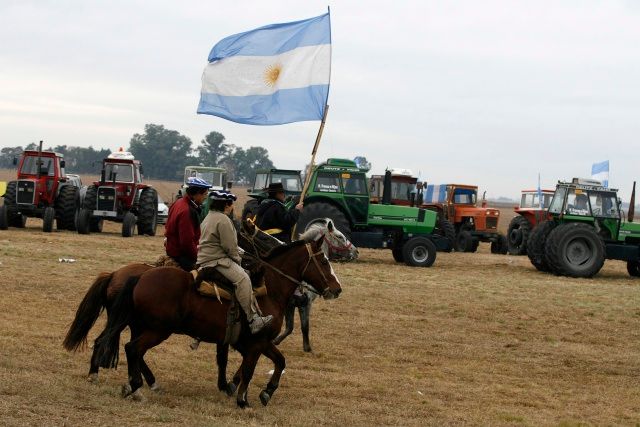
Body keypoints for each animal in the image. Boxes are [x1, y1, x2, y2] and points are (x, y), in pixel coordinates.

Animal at [96, 239, 340, 410]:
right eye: (324, 261)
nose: (337, 289)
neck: (269, 290)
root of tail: (139, 277)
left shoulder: (259, 343)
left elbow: (279, 361)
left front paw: (266, 392)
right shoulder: (256, 343)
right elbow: (249, 370)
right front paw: (242, 400)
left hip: (145, 327)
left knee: (129, 349)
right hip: (158, 330)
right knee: (133, 349)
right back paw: (134, 384)